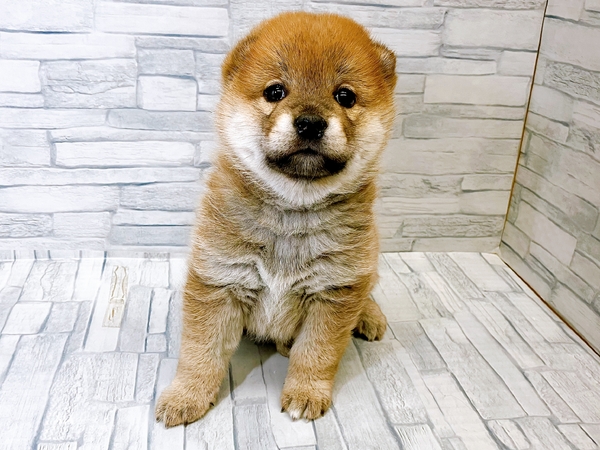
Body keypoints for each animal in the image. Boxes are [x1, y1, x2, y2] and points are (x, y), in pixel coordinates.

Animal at [155, 11, 397, 426]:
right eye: (275, 92)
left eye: (344, 96)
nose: (311, 122)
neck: (292, 213)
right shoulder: (219, 282)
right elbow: (200, 353)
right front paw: (185, 396)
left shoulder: (335, 291)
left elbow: (316, 353)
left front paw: (305, 393)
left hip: (364, 264)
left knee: (368, 288)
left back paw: (369, 316)